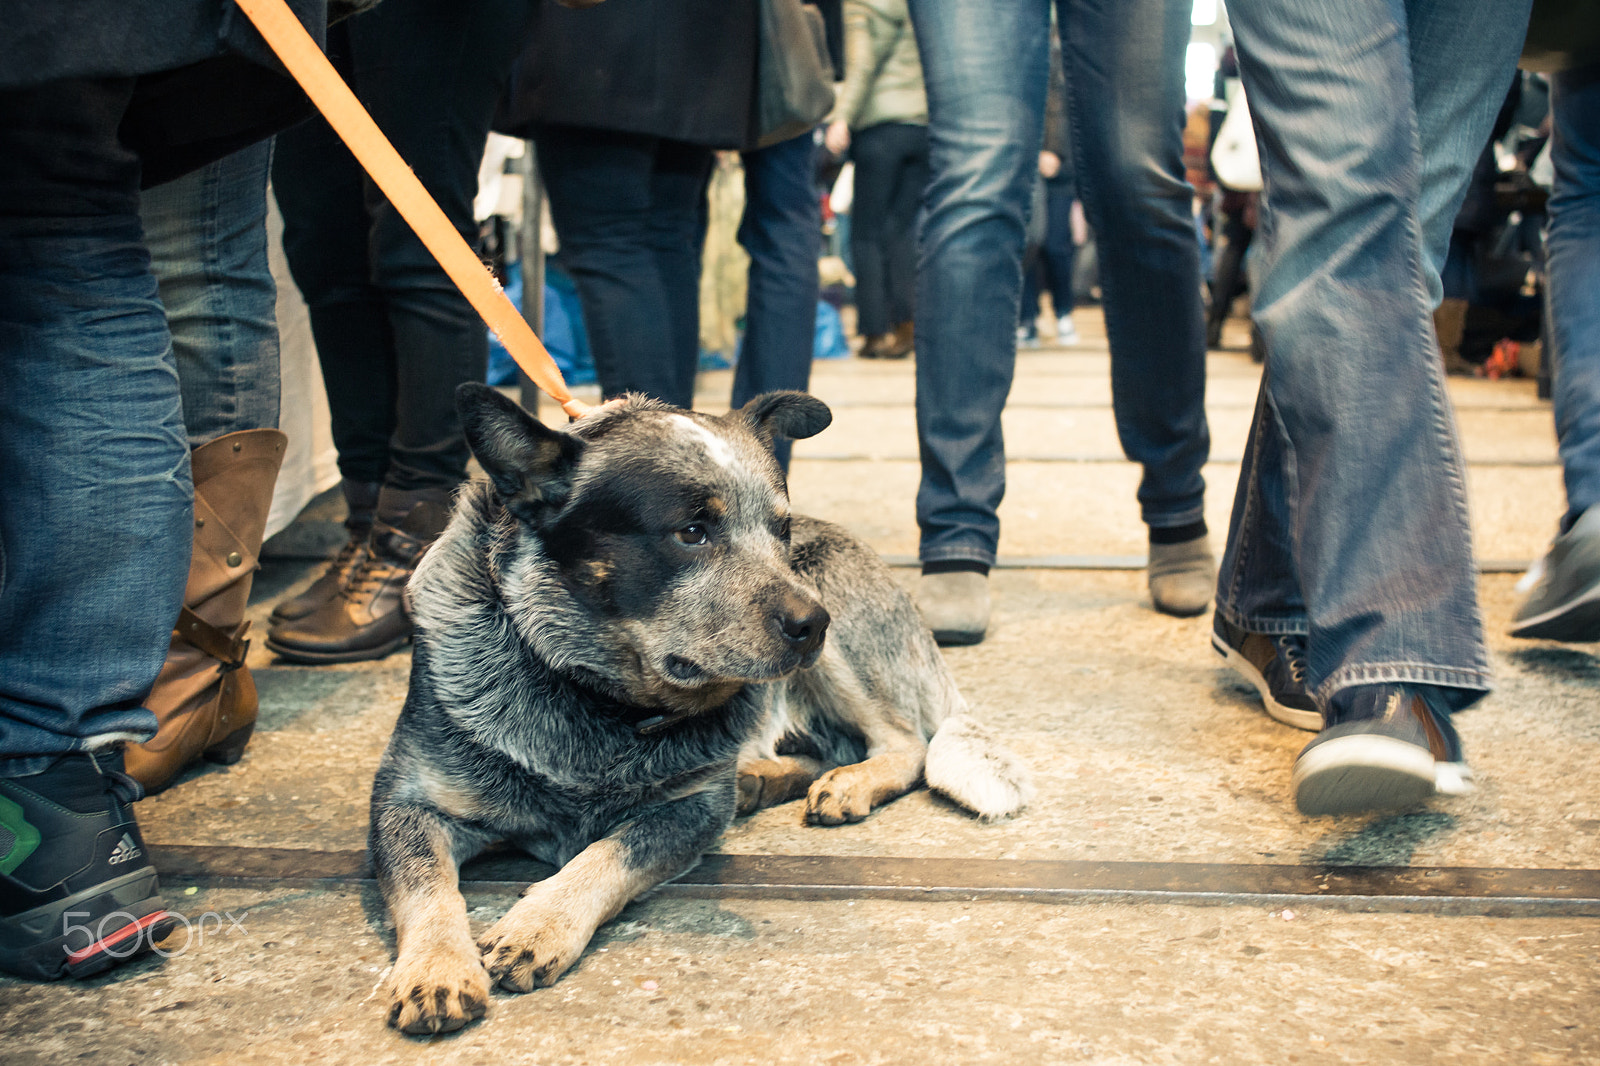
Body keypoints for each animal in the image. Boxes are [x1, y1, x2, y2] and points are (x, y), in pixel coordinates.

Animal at [368, 382, 1030, 1030]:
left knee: (904, 741)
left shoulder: (692, 810)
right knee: (831, 745)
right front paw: (436, 969)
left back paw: (848, 783)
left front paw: (541, 923)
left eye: (781, 531)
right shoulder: (405, 803)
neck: (593, 693)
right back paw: (764, 776)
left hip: (834, 615)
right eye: (692, 532)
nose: (813, 623)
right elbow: (427, 887)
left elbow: (611, 852)